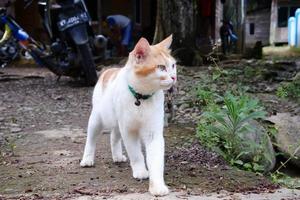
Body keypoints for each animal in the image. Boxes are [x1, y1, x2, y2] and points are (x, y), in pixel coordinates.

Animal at [81, 35, 177, 196]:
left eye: (173, 66)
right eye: (161, 67)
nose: (174, 77)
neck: (141, 97)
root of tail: (110, 70)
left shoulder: (153, 133)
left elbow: (156, 160)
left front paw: (157, 185)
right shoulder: (128, 130)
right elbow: (136, 153)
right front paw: (140, 171)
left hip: (117, 123)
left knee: (114, 136)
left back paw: (117, 156)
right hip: (97, 120)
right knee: (91, 139)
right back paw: (87, 159)